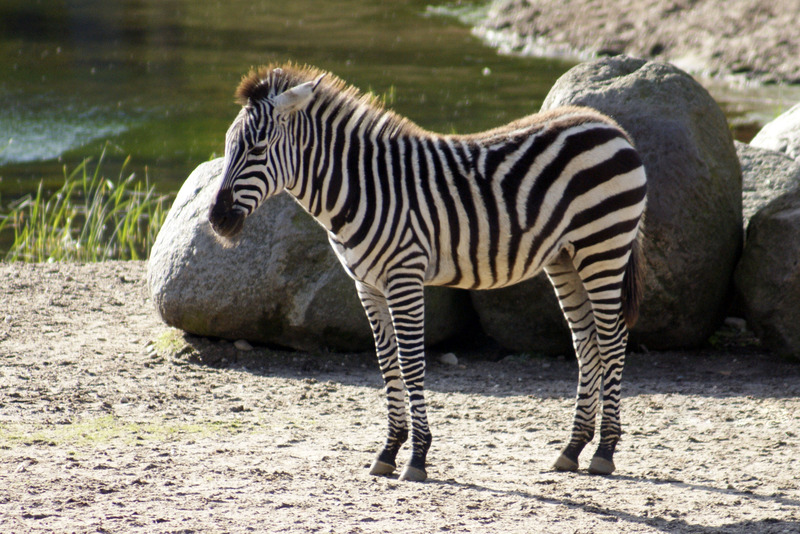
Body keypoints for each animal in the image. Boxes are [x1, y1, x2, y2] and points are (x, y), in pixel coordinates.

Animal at [208, 64, 647, 482]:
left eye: (257, 148)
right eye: (229, 147)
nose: (216, 219)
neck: (362, 189)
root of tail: (609, 125)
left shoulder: (405, 276)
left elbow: (411, 363)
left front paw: (417, 457)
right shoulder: (367, 285)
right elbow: (387, 364)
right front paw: (388, 452)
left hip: (603, 247)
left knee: (612, 340)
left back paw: (605, 451)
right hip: (565, 257)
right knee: (586, 342)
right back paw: (572, 449)